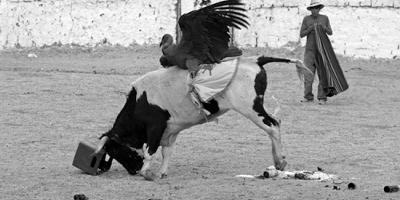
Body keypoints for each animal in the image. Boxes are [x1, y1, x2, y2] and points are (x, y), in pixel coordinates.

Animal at [94, 55, 306, 180]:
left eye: (115, 151)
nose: (133, 171)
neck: (140, 100)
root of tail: (255, 60)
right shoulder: (171, 130)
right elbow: (167, 152)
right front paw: (161, 172)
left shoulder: (156, 127)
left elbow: (151, 150)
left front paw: (147, 172)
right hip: (255, 107)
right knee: (276, 122)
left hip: (251, 108)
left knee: (272, 126)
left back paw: (279, 161)